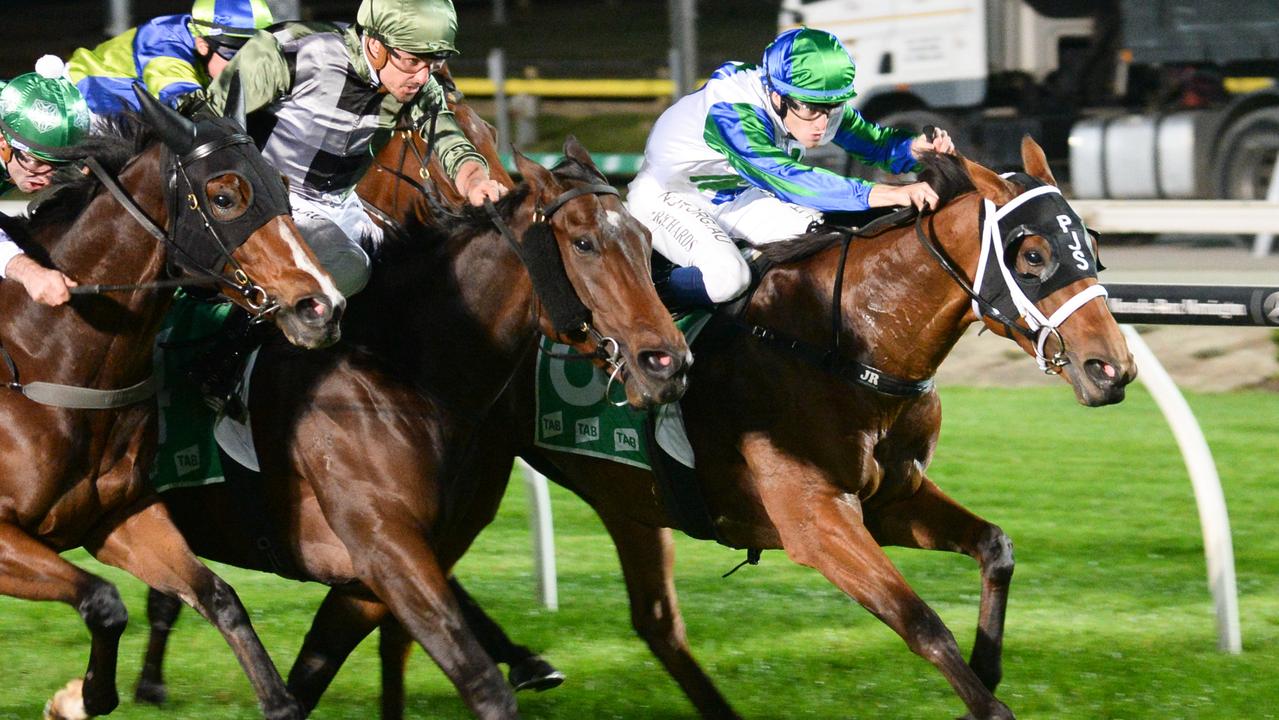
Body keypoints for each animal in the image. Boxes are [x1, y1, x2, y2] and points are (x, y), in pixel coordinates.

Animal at [0, 90, 342, 720]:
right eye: (225, 195)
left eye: (282, 184)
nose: (321, 307)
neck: (44, 359)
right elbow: (104, 602)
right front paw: (77, 697)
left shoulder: (119, 517)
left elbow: (218, 596)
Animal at [129, 132, 690, 716]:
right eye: (583, 243)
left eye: (644, 239)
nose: (667, 362)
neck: (396, 370)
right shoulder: (387, 550)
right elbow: (477, 678)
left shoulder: (375, 574)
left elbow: (312, 673)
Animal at [257, 139, 1130, 716]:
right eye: (1029, 253)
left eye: (1089, 244)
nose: (1110, 369)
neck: (846, 343)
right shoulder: (814, 519)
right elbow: (919, 623)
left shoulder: (893, 497)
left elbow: (995, 549)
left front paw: (991, 663)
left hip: (620, 498)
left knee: (651, 624)